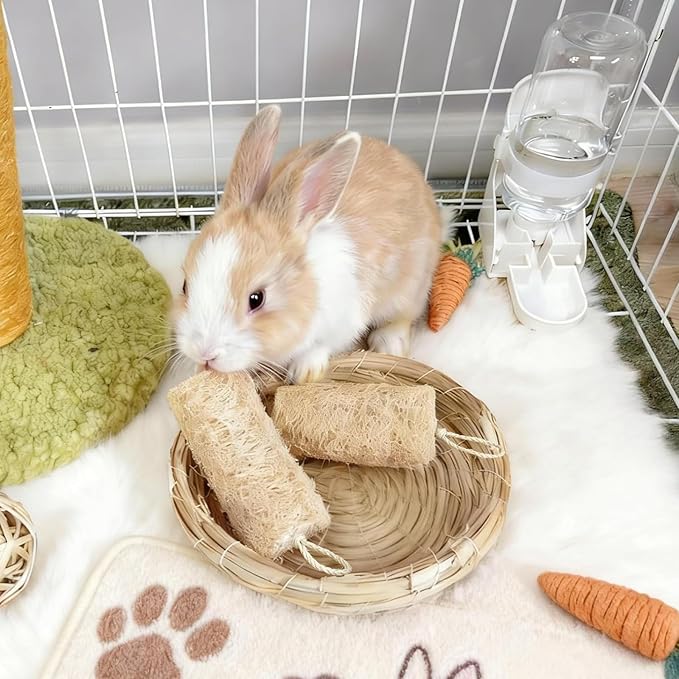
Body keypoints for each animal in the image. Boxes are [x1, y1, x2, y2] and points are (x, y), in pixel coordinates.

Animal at [175, 105, 443, 383]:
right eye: (184, 286)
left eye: (256, 299)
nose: (204, 353)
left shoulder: (345, 321)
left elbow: (322, 345)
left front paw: (304, 372)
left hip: (410, 288)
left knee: (404, 315)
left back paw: (389, 344)